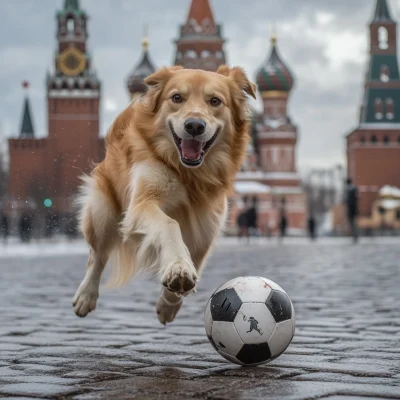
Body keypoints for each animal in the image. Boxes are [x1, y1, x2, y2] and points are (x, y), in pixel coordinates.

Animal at [72, 64, 256, 324]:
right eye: (177, 98)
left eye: (215, 101)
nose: (194, 125)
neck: (189, 174)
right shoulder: (142, 203)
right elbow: (169, 225)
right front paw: (178, 266)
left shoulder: (208, 221)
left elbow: (196, 258)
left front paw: (170, 300)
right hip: (103, 212)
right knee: (97, 256)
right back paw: (85, 296)